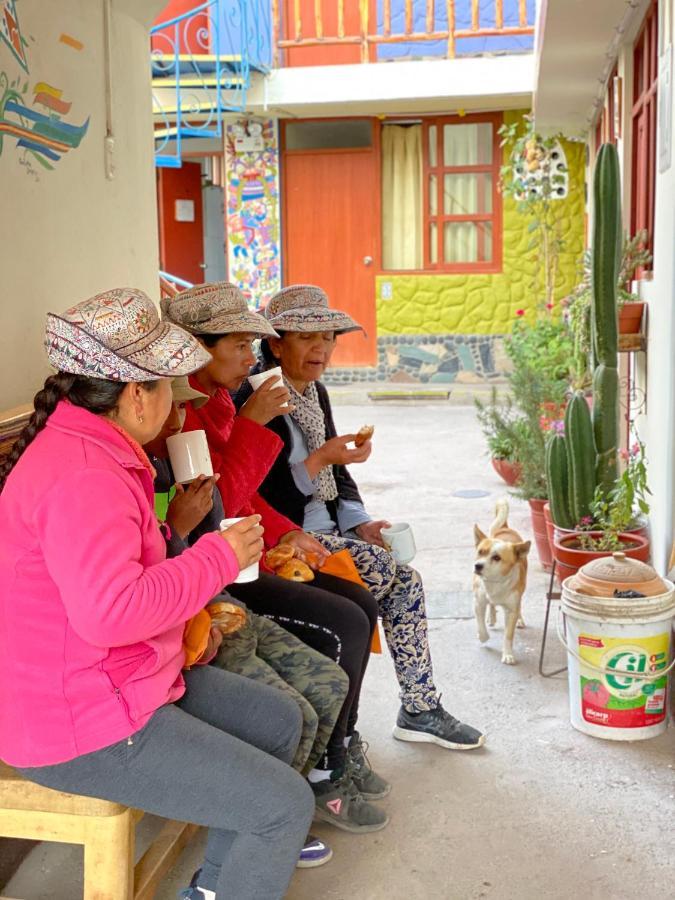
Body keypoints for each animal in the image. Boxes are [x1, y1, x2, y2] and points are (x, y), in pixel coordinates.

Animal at [472, 496, 532, 664]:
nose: (477, 566)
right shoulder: (478, 602)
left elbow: (508, 635)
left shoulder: (511, 609)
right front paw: (483, 636)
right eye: (480, 552)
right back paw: (491, 618)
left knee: (519, 607)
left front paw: (507, 654)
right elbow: (480, 625)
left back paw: (520, 619)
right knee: (491, 605)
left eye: (497, 558)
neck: (495, 583)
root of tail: (505, 528)